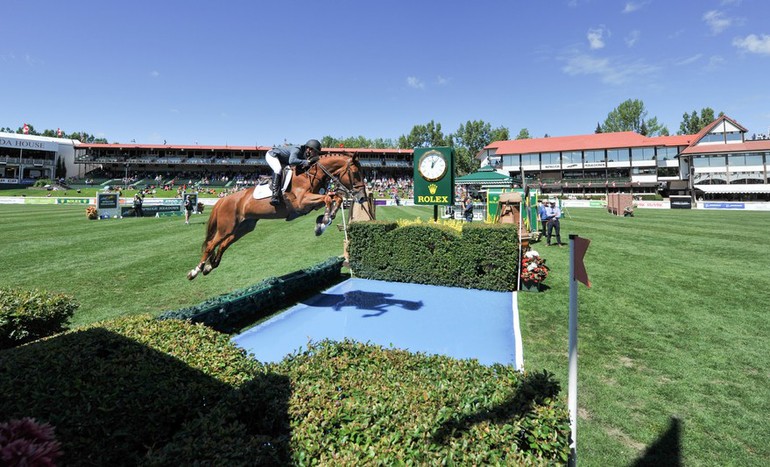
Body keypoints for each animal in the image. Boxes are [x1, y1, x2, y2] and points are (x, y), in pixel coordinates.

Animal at [186, 153, 366, 282]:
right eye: (355, 173)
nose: (362, 197)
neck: (310, 175)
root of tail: (225, 199)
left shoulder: (312, 203)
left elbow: (336, 198)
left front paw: (324, 221)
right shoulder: (302, 202)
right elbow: (330, 198)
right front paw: (324, 222)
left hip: (243, 228)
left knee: (223, 245)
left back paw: (209, 267)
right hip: (226, 227)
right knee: (211, 245)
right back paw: (195, 271)